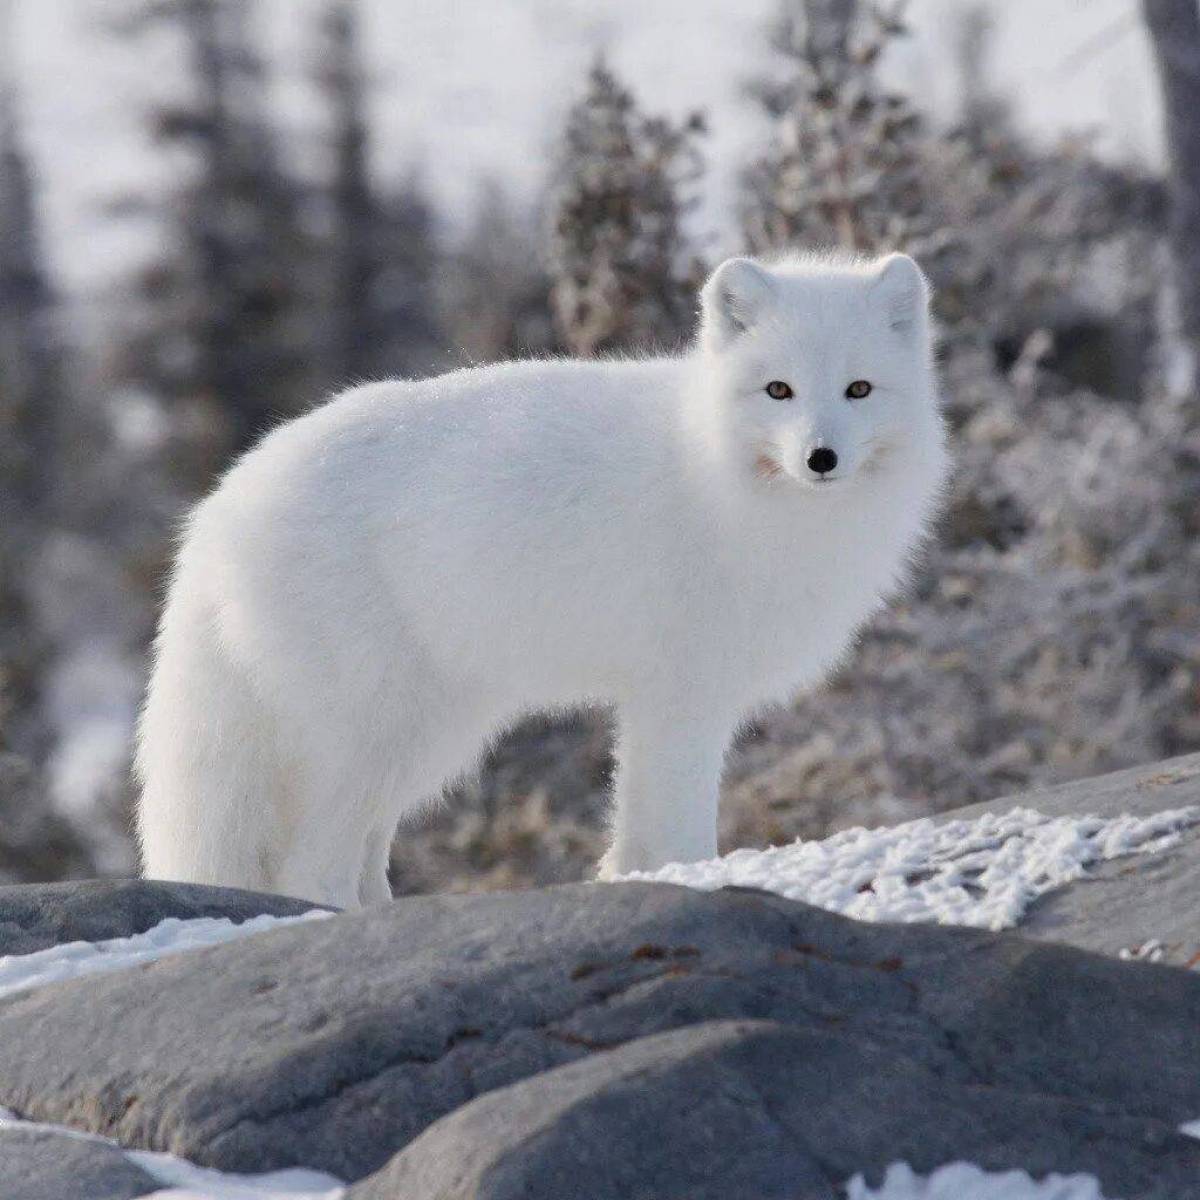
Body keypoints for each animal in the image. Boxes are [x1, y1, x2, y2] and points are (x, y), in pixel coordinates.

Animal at [136, 255, 950, 907]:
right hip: (375, 728)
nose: (821, 458)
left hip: (424, 733)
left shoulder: (667, 697)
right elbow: (677, 823)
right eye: (778, 390)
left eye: (859, 389)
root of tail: (223, 502)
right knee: (309, 866)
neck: (718, 472)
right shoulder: (681, 692)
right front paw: (688, 879)